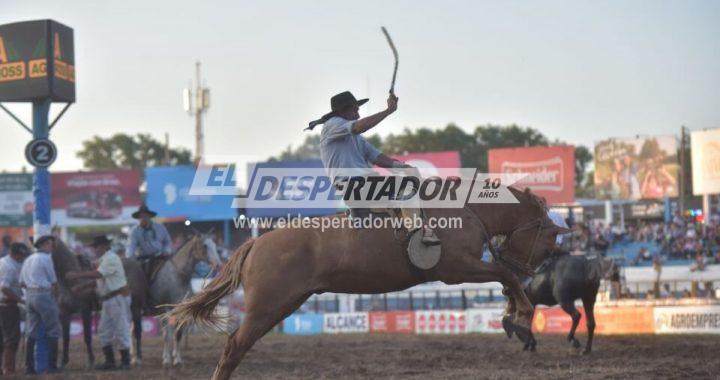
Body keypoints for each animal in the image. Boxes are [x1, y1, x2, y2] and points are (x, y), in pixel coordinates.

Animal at [123, 233, 219, 366]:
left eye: (214, 244)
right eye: (205, 246)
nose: (217, 264)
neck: (177, 276)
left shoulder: (180, 309)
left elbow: (178, 334)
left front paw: (177, 359)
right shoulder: (165, 310)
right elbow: (166, 335)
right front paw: (167, 359)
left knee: (132, 331)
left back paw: (133, 356)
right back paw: (135, 358)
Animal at [169, 186, 568, 380]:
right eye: (550, 239)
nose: (530, 268)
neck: (465, 211)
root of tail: (257, 242)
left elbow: (504, 278)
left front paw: (512, 311)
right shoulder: (456, 269)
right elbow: (504, 275)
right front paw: (521, 314)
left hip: (283, 304)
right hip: (266, 308)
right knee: (233, 347)